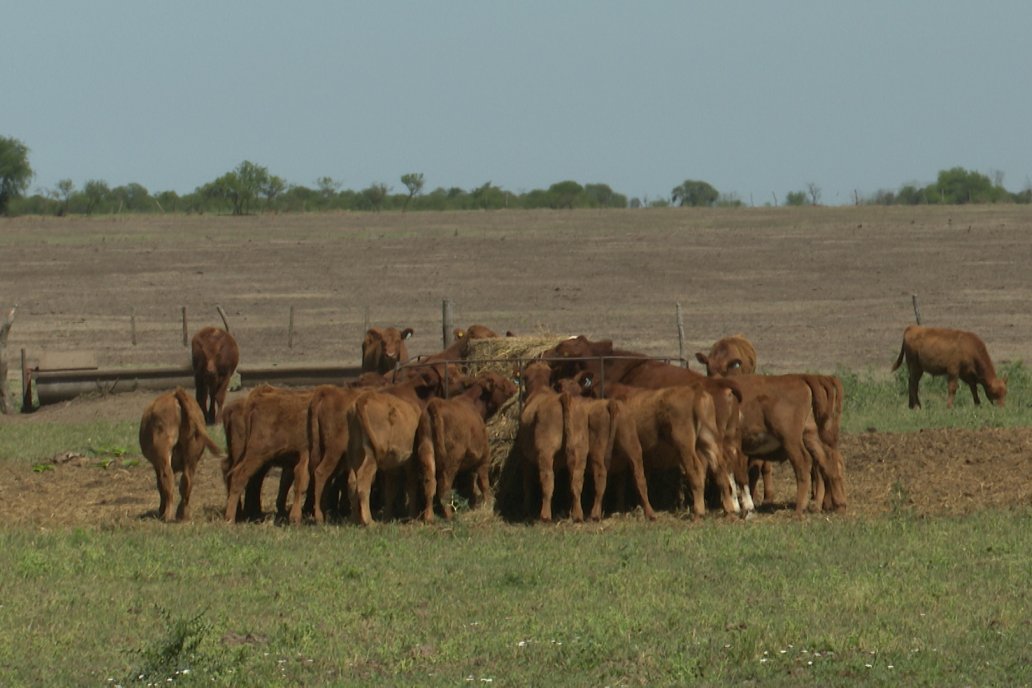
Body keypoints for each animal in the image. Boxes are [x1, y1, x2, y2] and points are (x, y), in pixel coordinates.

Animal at [139, 387, 221, 521]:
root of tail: (176, 395)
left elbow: (160, 485)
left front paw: (161, 510)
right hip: (192, 457)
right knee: (187, 481)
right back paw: (183, 515)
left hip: (163, 455)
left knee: (167, 479)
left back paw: (167, 515)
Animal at [423, 371, 516, 515]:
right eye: (502, 384)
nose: (515, 388)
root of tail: (435, 404)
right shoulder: (483, 459)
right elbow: (484, 484)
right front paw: (488, 505)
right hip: (451, 462)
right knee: (443, 488)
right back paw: (449, 515)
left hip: (427, 455)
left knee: (429, 485)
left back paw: (429, 516)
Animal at [516, 361, 590, 521]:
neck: (539, 390)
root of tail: (565, 397)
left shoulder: (525, 457)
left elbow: (527, 482)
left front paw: (525, 509)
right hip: (581, 450)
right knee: (577, 481)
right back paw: (577, 514)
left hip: (546, 452)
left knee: (547, 480)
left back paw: (545, 515)